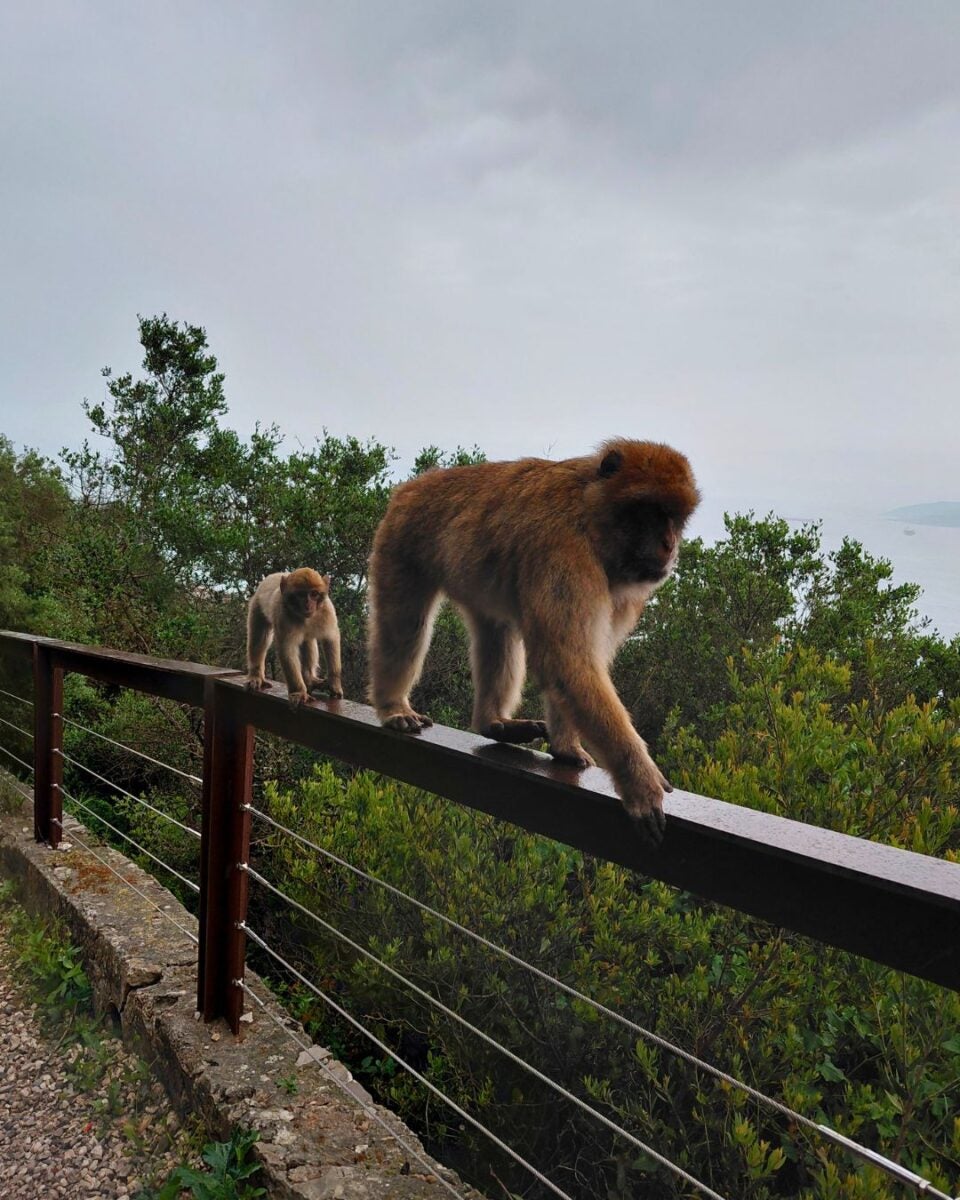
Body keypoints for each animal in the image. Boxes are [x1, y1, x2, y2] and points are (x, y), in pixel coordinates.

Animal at [246, 569, 343, 705]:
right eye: (301, 595)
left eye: (314, 594)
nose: (308, 604)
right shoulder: (283, 615)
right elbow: (287, 649)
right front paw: (299, 693)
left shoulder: (327, 610)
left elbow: (331, 638)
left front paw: (334, 684)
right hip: (256, 606)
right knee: (259, 639)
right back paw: (256, 675)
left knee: (308, 640)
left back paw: (309, 679)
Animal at [367, 439, 700, 845]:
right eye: (650, 513)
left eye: (674, 517)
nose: (669, 544)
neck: (590, 516)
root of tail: (413, 486)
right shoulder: (563, 549)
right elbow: (566, 659)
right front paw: (638, 781)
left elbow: (575, 663)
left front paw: (566, 747)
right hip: (401, 540)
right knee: (405, 626)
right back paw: (392, 706)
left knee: (497, 630)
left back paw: (493, 723)